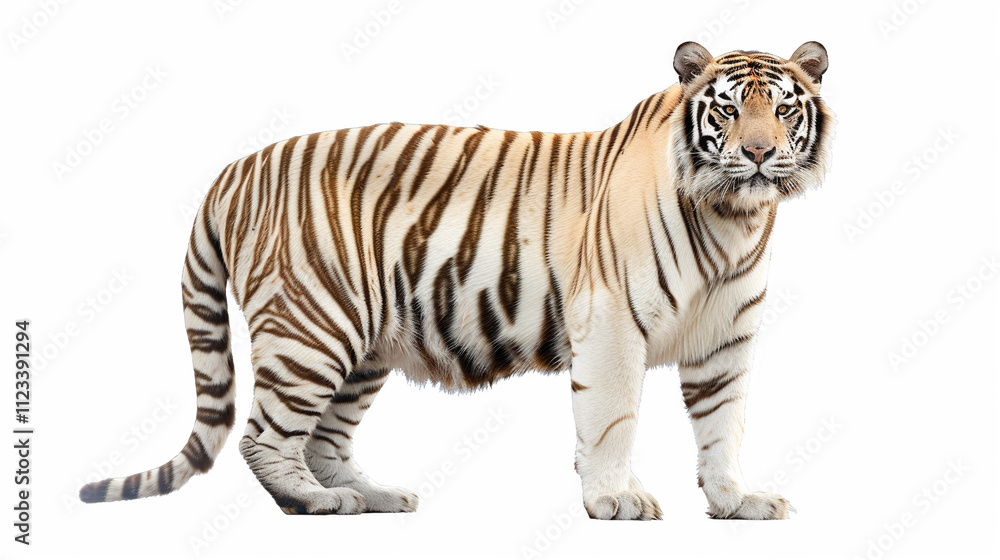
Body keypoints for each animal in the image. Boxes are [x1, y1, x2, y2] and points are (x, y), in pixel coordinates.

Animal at [79, 41, 833, 520]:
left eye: (783, 110)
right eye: (729, 110)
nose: (759, 152)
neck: (734, 217)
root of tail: (234, 169)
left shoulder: (725, 341)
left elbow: (723, 424)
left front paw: (736, 501)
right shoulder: (612, 323)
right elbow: (613, 419)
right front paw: (614, 499)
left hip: (361, 344)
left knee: (322, 438)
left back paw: (373, 496)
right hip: (311, 326)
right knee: (264, 436)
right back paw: (313, 501)